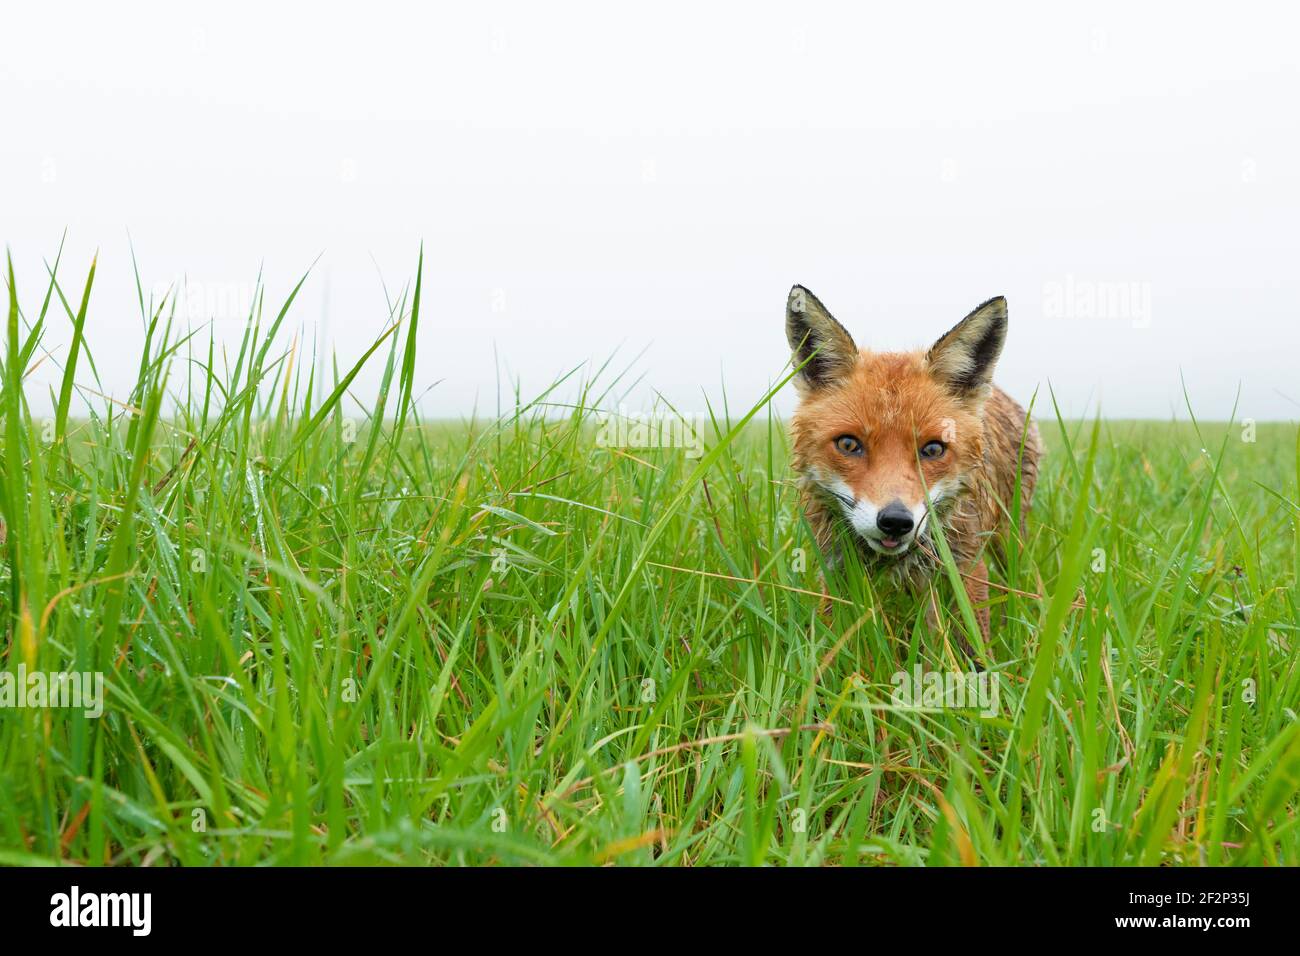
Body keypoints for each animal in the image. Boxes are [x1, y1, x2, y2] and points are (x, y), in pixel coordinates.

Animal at [780, 283, 1045, 650]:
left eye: (933, 449)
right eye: (848, 444)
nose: (895, 521)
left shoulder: (967, 567)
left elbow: (968, 648)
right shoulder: (834, 569)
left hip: (1007, 540)